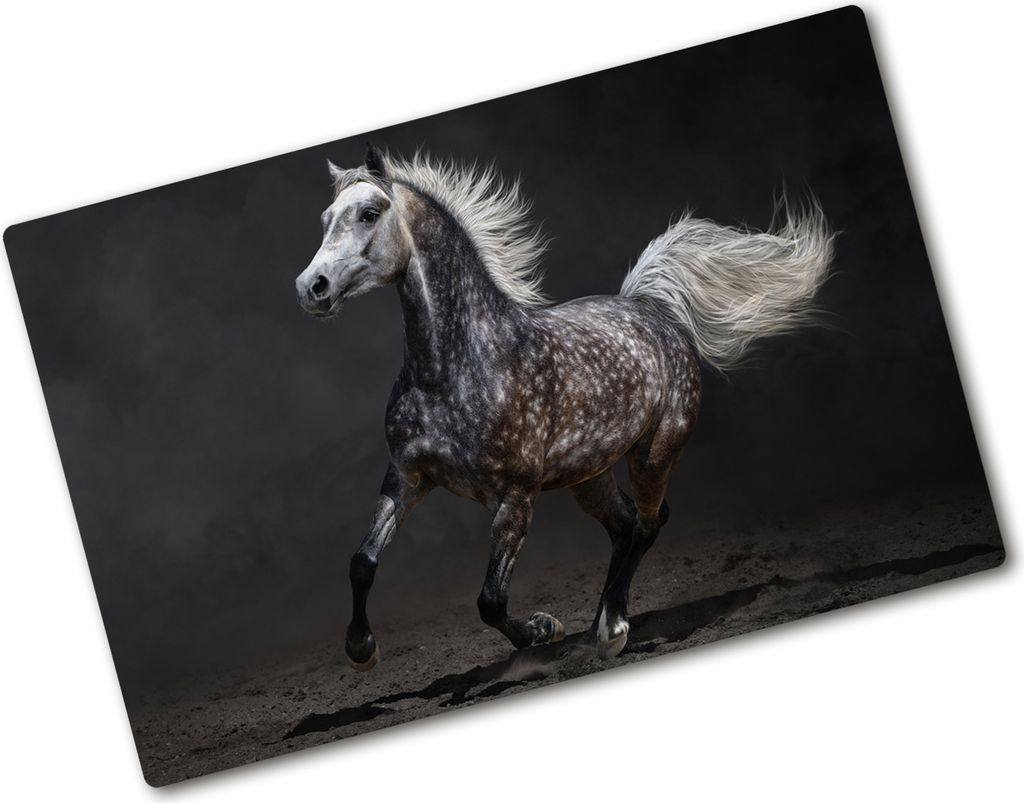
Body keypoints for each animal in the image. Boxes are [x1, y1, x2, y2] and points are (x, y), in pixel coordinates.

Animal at [295, 146, 833, 670]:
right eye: (325, 217)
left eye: (369, 213)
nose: (311, 287)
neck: (456, 369)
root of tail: (653, 310)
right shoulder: (407, 477)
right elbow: (362, 563)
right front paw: (361, 650)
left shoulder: (516, 496)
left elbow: (490, 601)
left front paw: (543, 630)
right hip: (589, 475)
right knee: (625, 528)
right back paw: (597, 627)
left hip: (653, 455)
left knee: (648, 523)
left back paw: (611, 630)